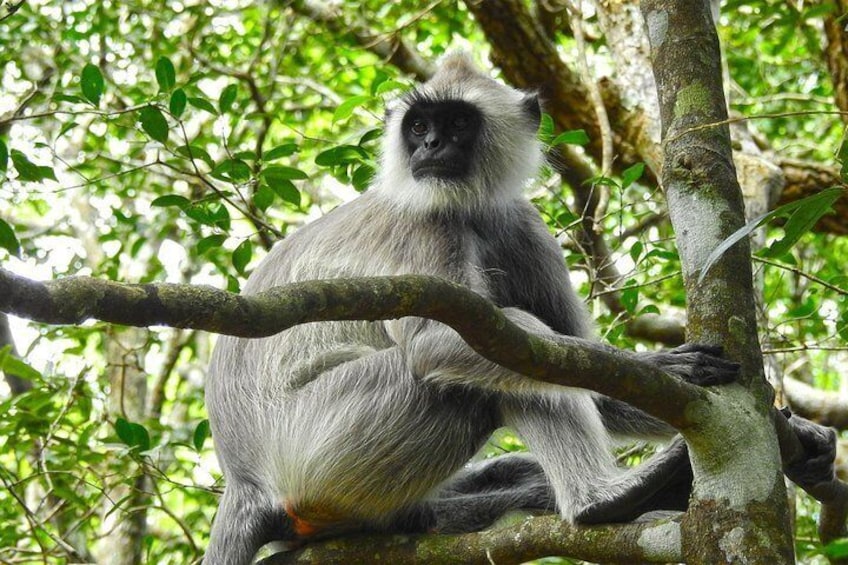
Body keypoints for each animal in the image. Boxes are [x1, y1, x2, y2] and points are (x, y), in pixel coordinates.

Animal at [202, 53, 740, 564]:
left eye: (458, 123)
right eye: (419, 126)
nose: (431, 146)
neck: (468, 208)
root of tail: (244, 484)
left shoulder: (522, 226)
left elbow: (603, 389)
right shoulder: (421, 225)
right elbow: (433, 344)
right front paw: (666, 369)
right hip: (319, 445)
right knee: (497, 357)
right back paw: (602, 500)